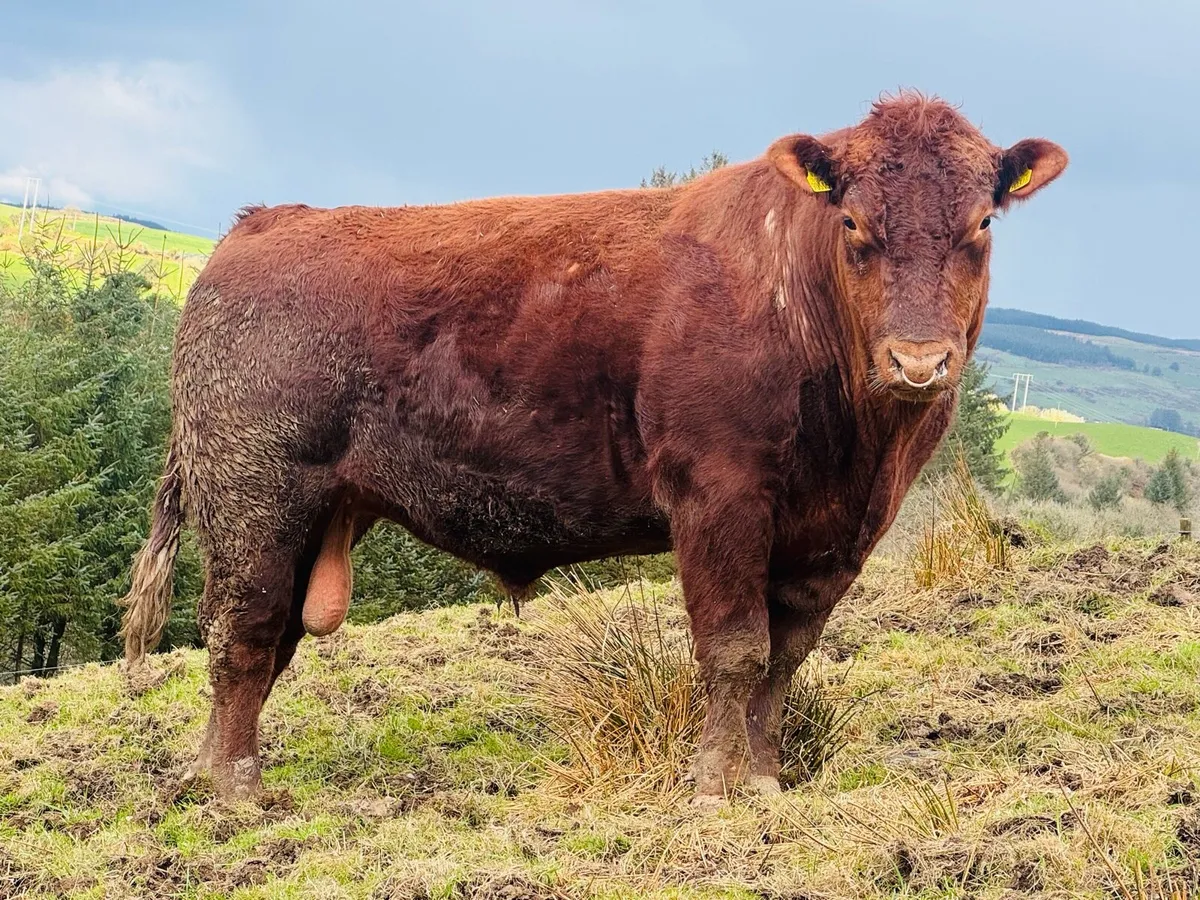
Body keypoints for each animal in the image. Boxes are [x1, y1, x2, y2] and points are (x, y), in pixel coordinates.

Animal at [120, 93, 1066, 803]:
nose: (919, 361)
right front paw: (715, 786)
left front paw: (765, 779)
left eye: (983, 222)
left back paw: (205, 773)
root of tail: (261, 225)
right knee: (243, 632)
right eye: (856, 223)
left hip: (306, 516)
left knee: (268, 638)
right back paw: (235, 790)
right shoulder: (719, 498)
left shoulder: (840, 533)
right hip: (254, 499)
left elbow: (786, 657)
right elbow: (735, 649)